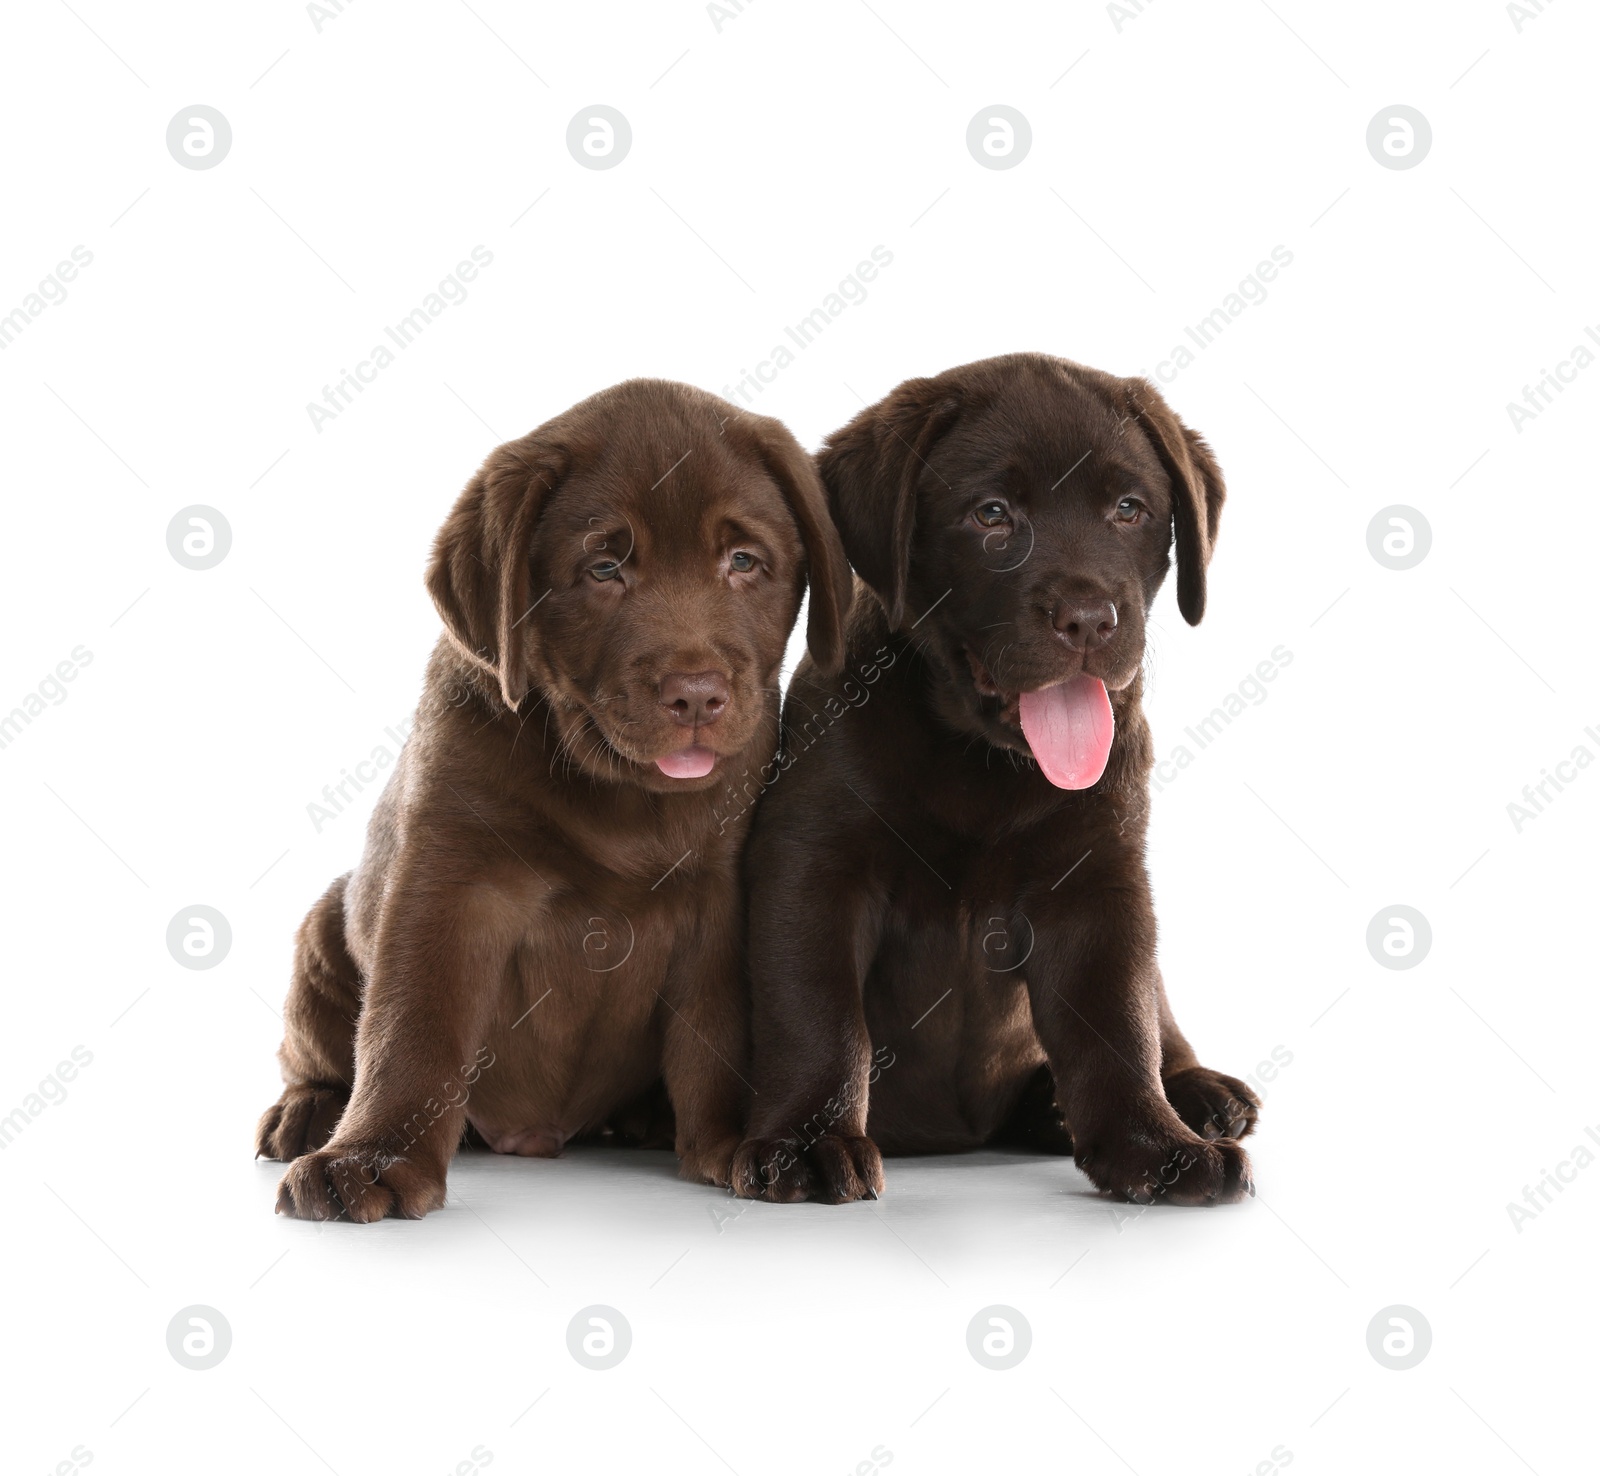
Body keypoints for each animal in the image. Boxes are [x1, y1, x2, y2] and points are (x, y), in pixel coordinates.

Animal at [256, 379, 851, 1216]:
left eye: (743, 562)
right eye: (603, 570)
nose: (697, 695)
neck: (619, 797)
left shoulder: (722, 895)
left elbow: (720, 1031)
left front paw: (735, 1142)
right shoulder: (448, 879)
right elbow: (413, 1025)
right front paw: (372, 1157)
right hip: (323, 928)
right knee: (316, 1047)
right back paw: (309, 1112)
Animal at [732, 350, 1260, 1203]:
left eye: (1129, 509)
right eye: (991, 515)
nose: (1089, 619)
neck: (983, 760)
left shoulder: (1099, 881)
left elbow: (1120, 1023)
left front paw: (1155, 1144)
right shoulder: (812, 864)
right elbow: (816, 1011)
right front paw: (807, 1141)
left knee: (1159, 1015)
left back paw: (1194, 1094)